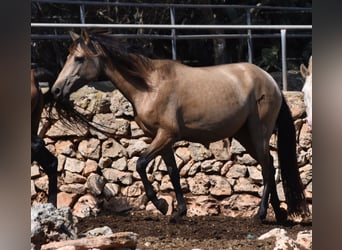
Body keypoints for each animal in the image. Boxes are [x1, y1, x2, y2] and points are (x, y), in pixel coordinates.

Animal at [50, 30, 310, 224]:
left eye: (79, 58)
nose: (56, 90)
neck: (149, 86)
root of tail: (271, 81)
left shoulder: (166, 135)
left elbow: (140, 164)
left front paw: (161, 204)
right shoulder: (162, 139)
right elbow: (173, 172)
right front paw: (178, 211)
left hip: (258, 133)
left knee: (267, 167)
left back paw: (261, 213)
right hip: (244, 135)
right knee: (270, 164)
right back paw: (279, 214)